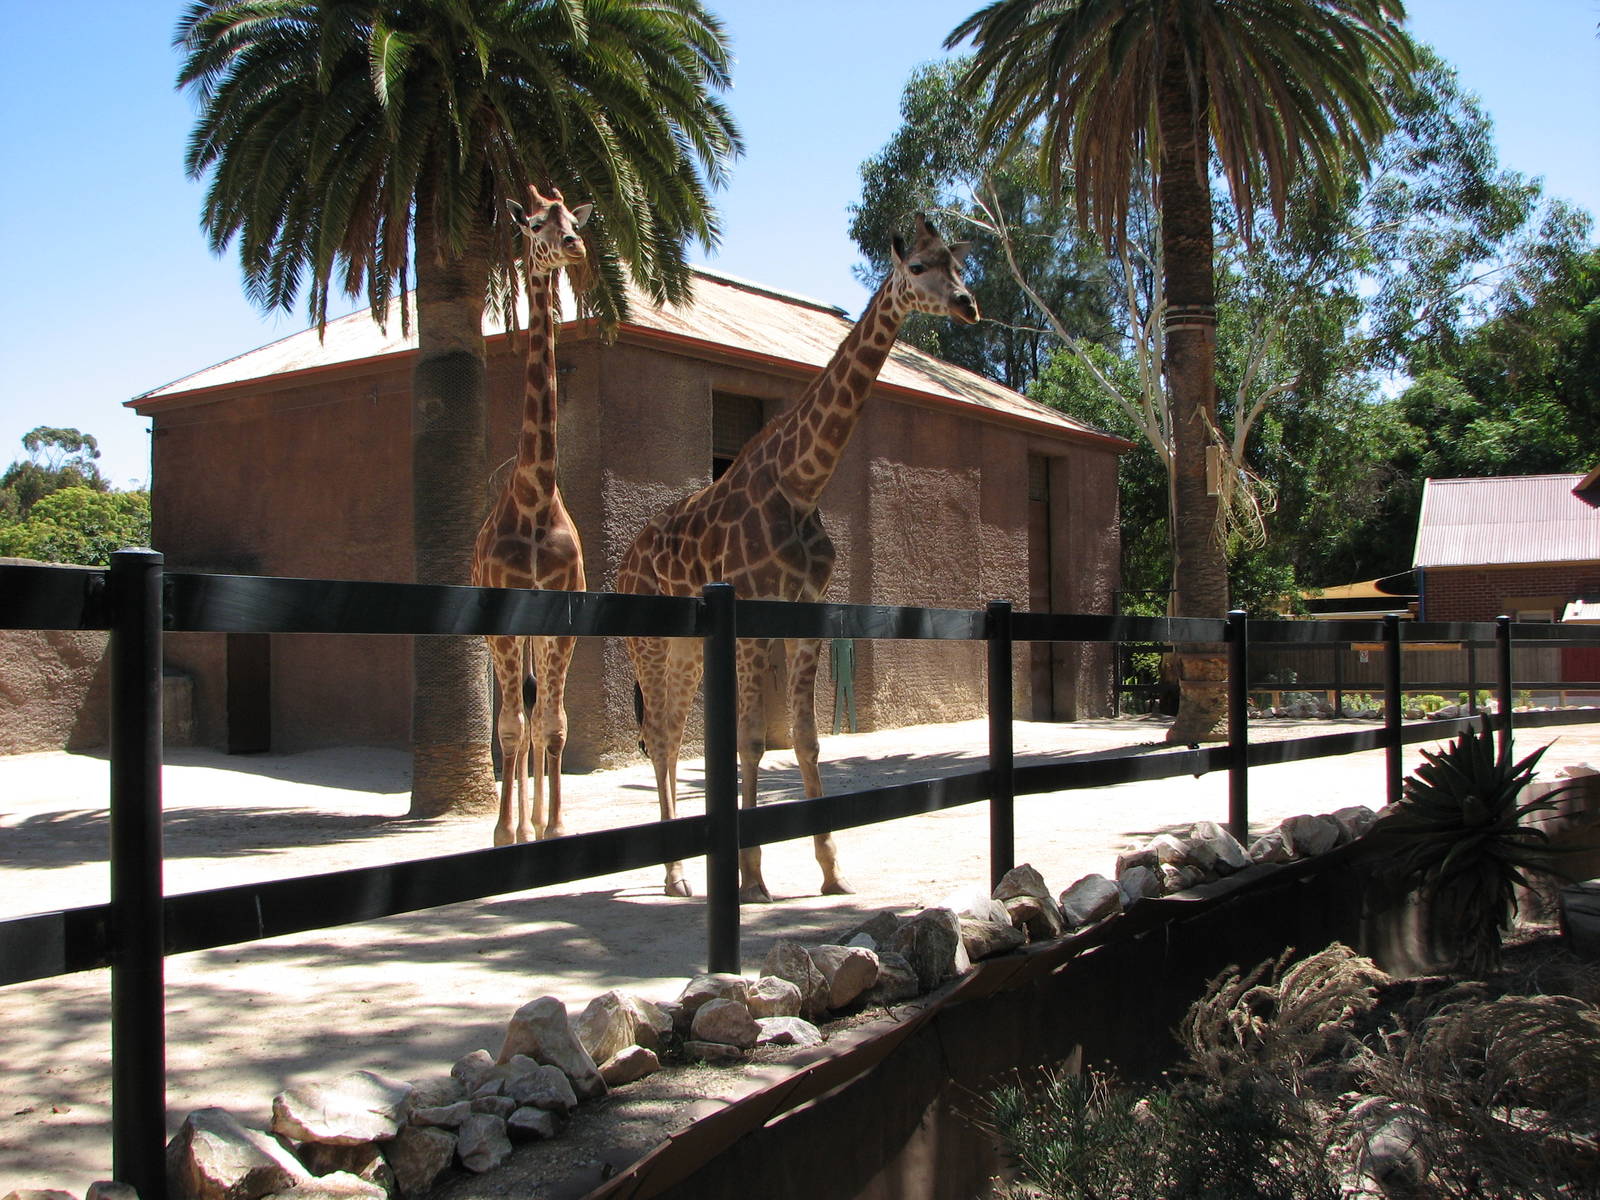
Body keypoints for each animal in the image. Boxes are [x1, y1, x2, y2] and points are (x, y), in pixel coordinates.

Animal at [617, 214, 979, 899]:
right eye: (918, 267)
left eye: (958, 263)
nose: (968, 304)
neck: (801, 483)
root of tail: (623, 564)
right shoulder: (754, 615)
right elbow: (752, 742)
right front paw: (753, 877)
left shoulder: (806, 613)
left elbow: (807, 741)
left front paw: (832, 870)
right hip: (645, 638)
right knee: (657, 733)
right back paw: (675, 875)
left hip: (685, 645)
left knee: (670, 731)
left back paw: (680, 872)